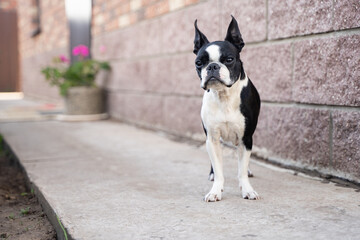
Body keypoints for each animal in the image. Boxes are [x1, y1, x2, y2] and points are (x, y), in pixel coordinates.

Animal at [194, 15, 262, 202]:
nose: (212, 66)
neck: (224, 95)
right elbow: (219, 170)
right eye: (199, 63)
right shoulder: (212, 138)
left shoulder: (246, 138)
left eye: (229, 59)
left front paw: (247, 189)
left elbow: (242, 170)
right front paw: (215, 190)